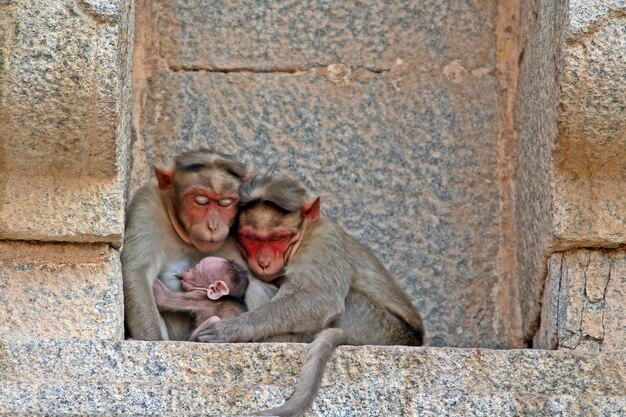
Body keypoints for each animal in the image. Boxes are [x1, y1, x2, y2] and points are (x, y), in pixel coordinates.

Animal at [121, 150, 276, 342]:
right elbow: (137, 274)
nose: (213, 226)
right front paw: (152, 338)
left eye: (226, 203)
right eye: (201, 201)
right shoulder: (148, 203)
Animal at [193, 171, 422, 414]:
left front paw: (230, 330)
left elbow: (320, 298)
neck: (303, 236)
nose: (264, 262)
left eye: (277, 238)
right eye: (253, 239)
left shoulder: (323, 241)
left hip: (380, 326)